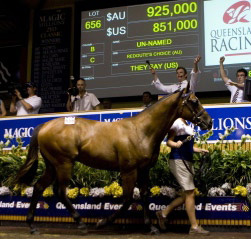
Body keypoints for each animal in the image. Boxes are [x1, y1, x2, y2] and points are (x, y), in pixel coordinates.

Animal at [15, 84, 212, 233]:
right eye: (194, 101)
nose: (208, 122)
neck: (141, 131)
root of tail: (44, 126)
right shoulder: (128, 171)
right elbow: (127, 200)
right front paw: (103, 222)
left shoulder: (143, 170)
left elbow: (144, 195)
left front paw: (151, 227)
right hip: (64, 164)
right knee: (60, 191)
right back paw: (81, 223)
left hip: (52, 165)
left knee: (39, 187)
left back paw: (32, 225)